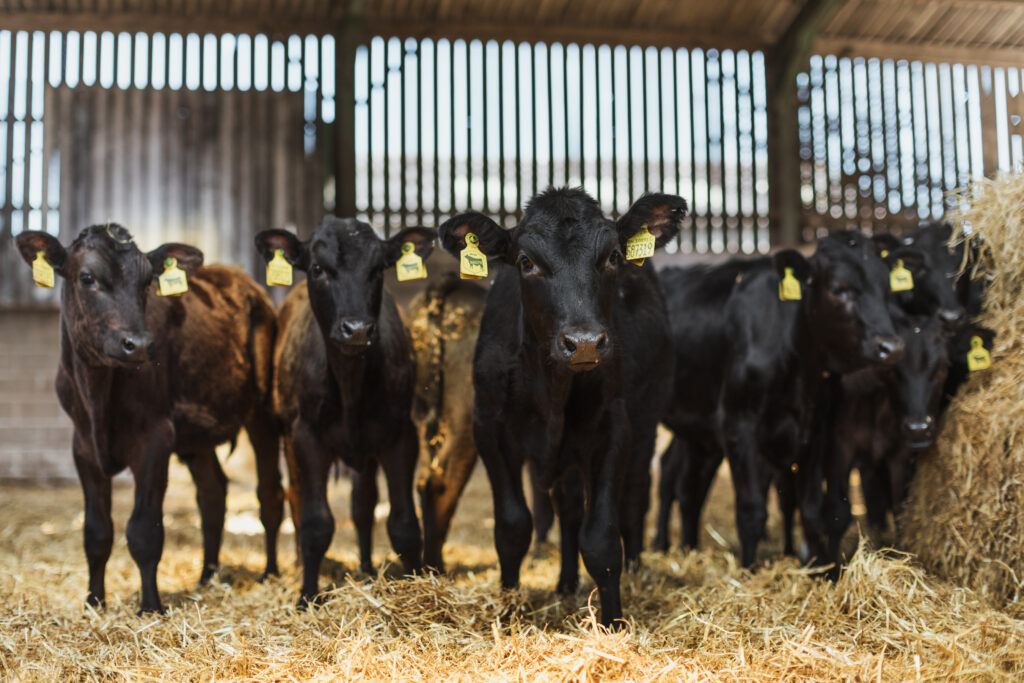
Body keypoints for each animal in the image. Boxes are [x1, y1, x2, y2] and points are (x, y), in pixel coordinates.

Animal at [15, 225, 284, 615]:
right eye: (87, 278)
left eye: (146, 283)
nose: (139, 344)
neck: (97, 396)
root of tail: (242, 280)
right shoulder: (82, 446)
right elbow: (96, 531)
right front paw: (94, 601)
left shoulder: (155, 438)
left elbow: (143, 530)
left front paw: (150, 606)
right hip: (196, 436)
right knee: (213, 494)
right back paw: (207, 577)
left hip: (263, 411)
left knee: (269, 494)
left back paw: (270, 573)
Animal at [254, 217, 434, 607]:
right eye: (318, 269)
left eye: (378, 268)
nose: (357, 329)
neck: (350, 382)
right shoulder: (306, 437)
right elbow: (315, 522)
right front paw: (307, 595)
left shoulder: (401, 435)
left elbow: (404, 523)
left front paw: (417, 587)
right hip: (279, 435)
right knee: (287, 499)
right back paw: (281, 568)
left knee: (363, 505)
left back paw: (365, 566)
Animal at [437, 188, 685, 627]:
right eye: (526, 261)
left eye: (613, 256)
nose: (584, 343)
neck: (552, 388)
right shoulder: (489, 428)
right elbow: (513, 526)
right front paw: (509, 608)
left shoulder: (613, 427)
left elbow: (602, 537)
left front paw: (613, 622)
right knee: (568, 508)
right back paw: (566, 582)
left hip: (645, 423)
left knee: (635, 496)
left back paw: (636, 568)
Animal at [657, 231, 903, 568]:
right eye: (838, 289)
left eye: (886, 288)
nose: (891, 347)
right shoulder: (737, 423)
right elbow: (751, 511)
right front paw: (749, 570)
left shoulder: (817, 428)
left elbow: (811, 510)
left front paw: (824, 569)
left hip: (697, 429)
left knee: (687, 485)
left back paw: (688, 549)